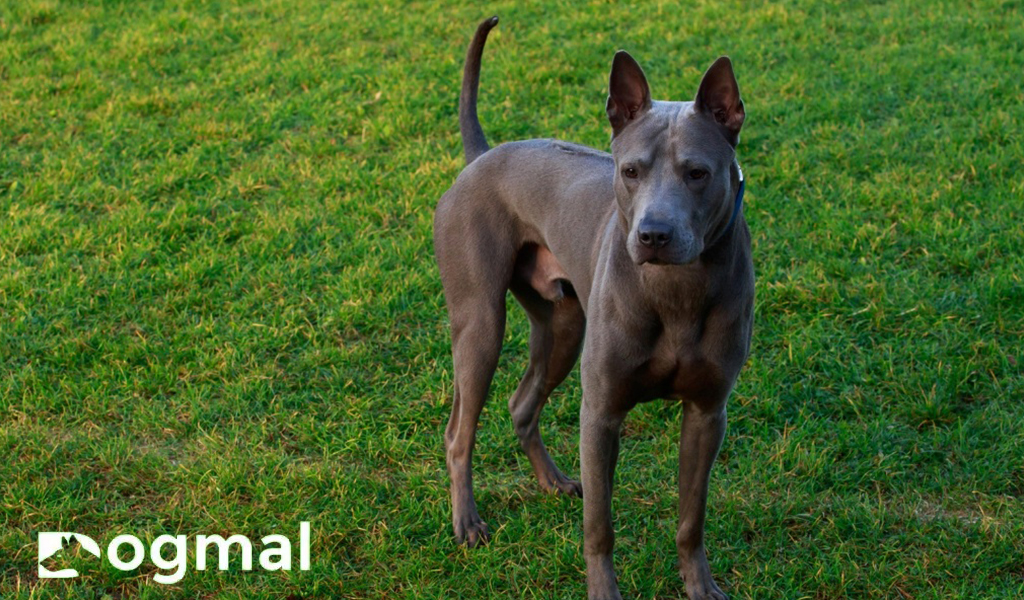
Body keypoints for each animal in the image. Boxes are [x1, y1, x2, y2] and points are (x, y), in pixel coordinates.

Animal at [432, 16, 753, 593]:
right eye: (630, 171)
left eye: (698, 173)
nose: (653, 235)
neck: (676, 290)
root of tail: (484, 155)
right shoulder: (600, 414)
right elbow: (600, 526)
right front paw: (604, 592)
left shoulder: (707, 415)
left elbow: (691, 518)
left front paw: (699, 586)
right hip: (480, 327)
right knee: (458, 433)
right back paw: (467, 521)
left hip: (563, 326)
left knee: (521, 404)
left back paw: (553, 480)